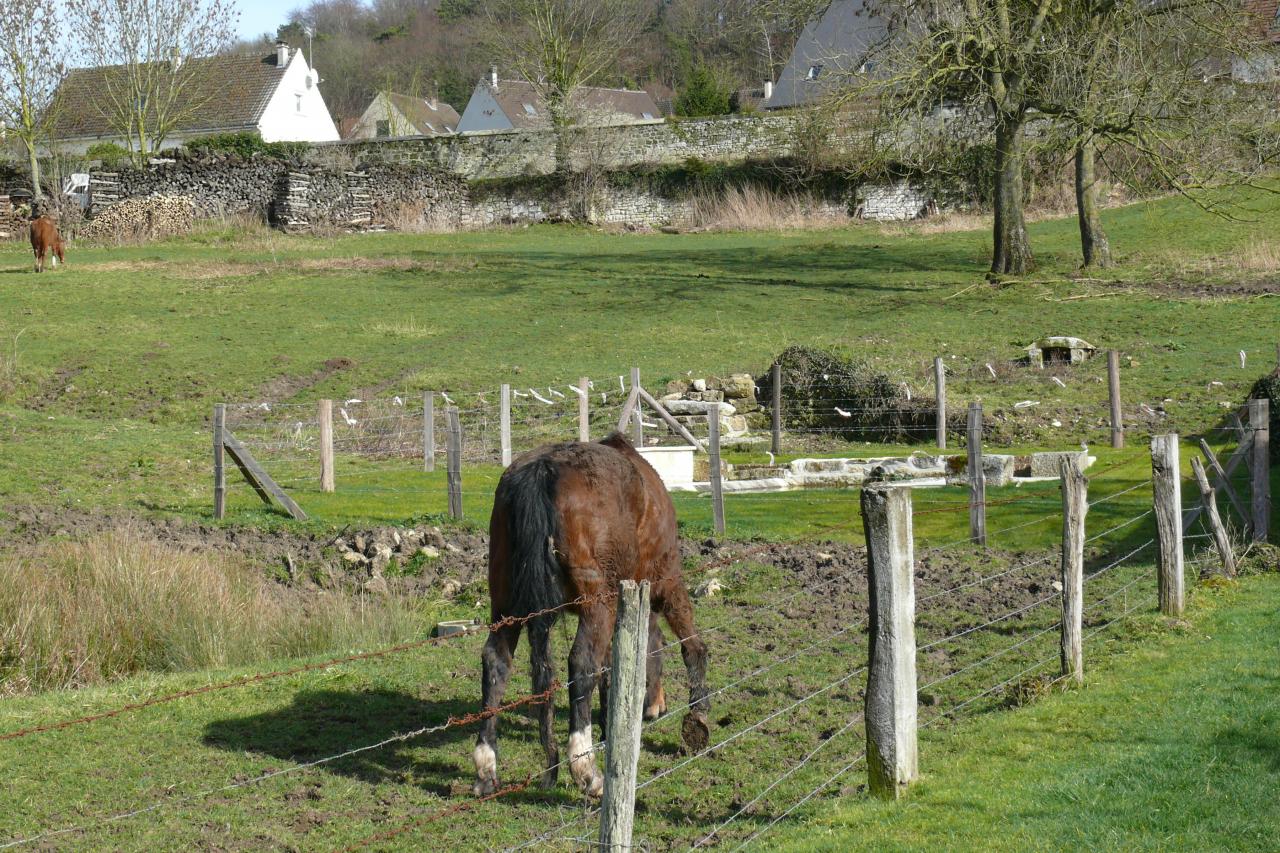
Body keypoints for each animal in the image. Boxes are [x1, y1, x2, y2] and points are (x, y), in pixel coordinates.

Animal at [473, 432, 711, 799]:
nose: (655, 707)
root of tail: (544, 469)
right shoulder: (666, 579)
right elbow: (689, 646)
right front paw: (696, 718)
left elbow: (611, 669)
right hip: (597, 604)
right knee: (582, 663)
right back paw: (586, 770)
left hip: (506, 607)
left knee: (496, 661)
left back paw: (486, 768)